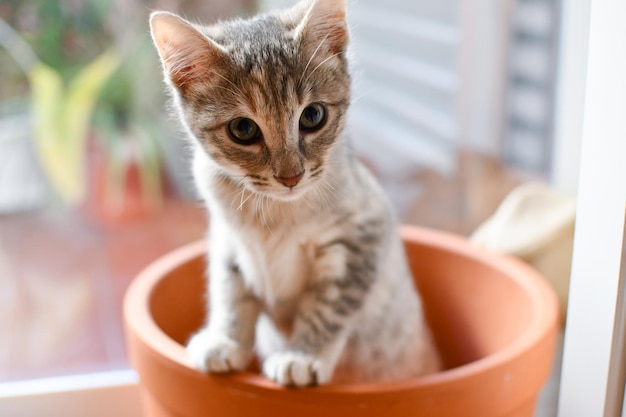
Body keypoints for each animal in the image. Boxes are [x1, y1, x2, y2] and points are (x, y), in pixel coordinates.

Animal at [150, 0, 438, 386]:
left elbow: (328, 308)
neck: (272, 215)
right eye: (243, 129)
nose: (291, 176)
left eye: (313, 115)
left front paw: (302, 356)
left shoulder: (360, 237)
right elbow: (229, 292)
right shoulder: (227, 240)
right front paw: (225, 341)